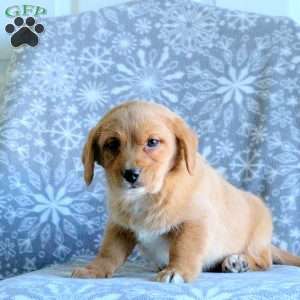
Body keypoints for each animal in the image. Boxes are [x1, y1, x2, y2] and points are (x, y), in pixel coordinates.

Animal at [72, 100, 300, 282]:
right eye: (112, 144)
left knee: (264, 261)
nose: (131, 174)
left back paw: (237, 260)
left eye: (152, 142)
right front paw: (93, 269)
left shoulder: (193, 222)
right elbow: (108, 252)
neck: (150, 195)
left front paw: (177, 271)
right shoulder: (119, 226)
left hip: (257, 239)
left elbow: (183, 249)